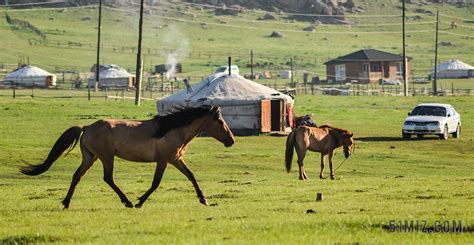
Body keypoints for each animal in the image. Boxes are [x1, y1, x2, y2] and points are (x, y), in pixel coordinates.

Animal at [20, 106, 235, 208]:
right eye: (220, 121)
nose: (231, 140)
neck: (172, 130)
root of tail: (87, 127)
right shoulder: (163, 160)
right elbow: (156, 183)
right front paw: (139, 202)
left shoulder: (175, 160)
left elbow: (191, 176)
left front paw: (204, 200)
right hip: (106, 157)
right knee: (108, 178)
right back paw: (127, 201)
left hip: (90, 157)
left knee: (77, 176)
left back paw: (66, 203)